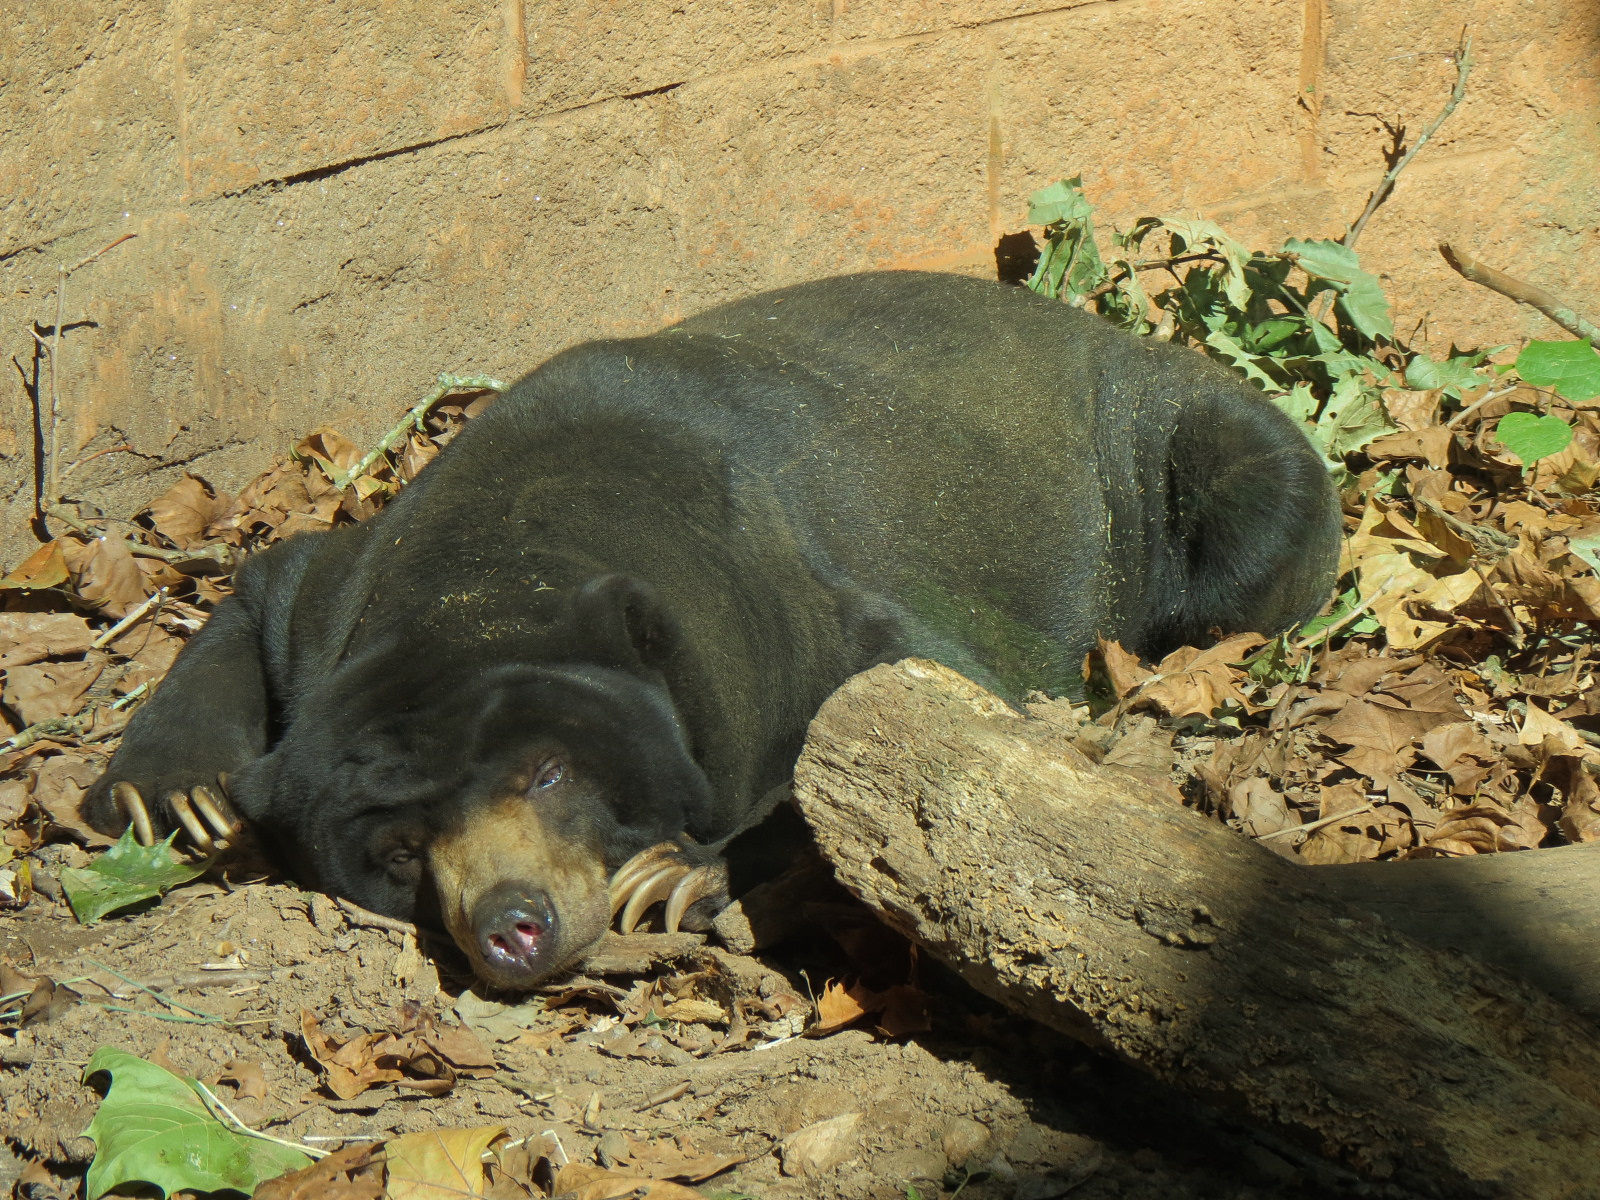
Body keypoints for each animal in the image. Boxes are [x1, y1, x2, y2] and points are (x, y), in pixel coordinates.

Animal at [85, 270, 1340, 990]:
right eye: (395, 852)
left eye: (547, 773)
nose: (511, 924)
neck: (499, 561)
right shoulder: (340, 599)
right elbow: (269, 581)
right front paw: (172, 794)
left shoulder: (793, 591)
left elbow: (908, 705)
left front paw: (680, 881)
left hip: (1193, 457)